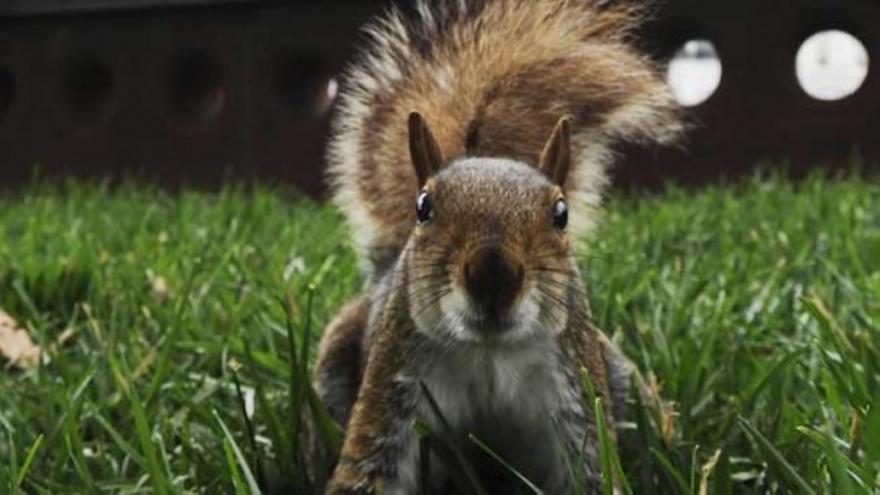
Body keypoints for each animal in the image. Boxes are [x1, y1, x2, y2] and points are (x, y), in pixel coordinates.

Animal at [314, 1, 680, 494]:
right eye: (423, 207)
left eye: (560, 213)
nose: (494, 277)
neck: (489, 353)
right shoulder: (392, 387)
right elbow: (371, 469)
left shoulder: (575, 397)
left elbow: (592, 471)